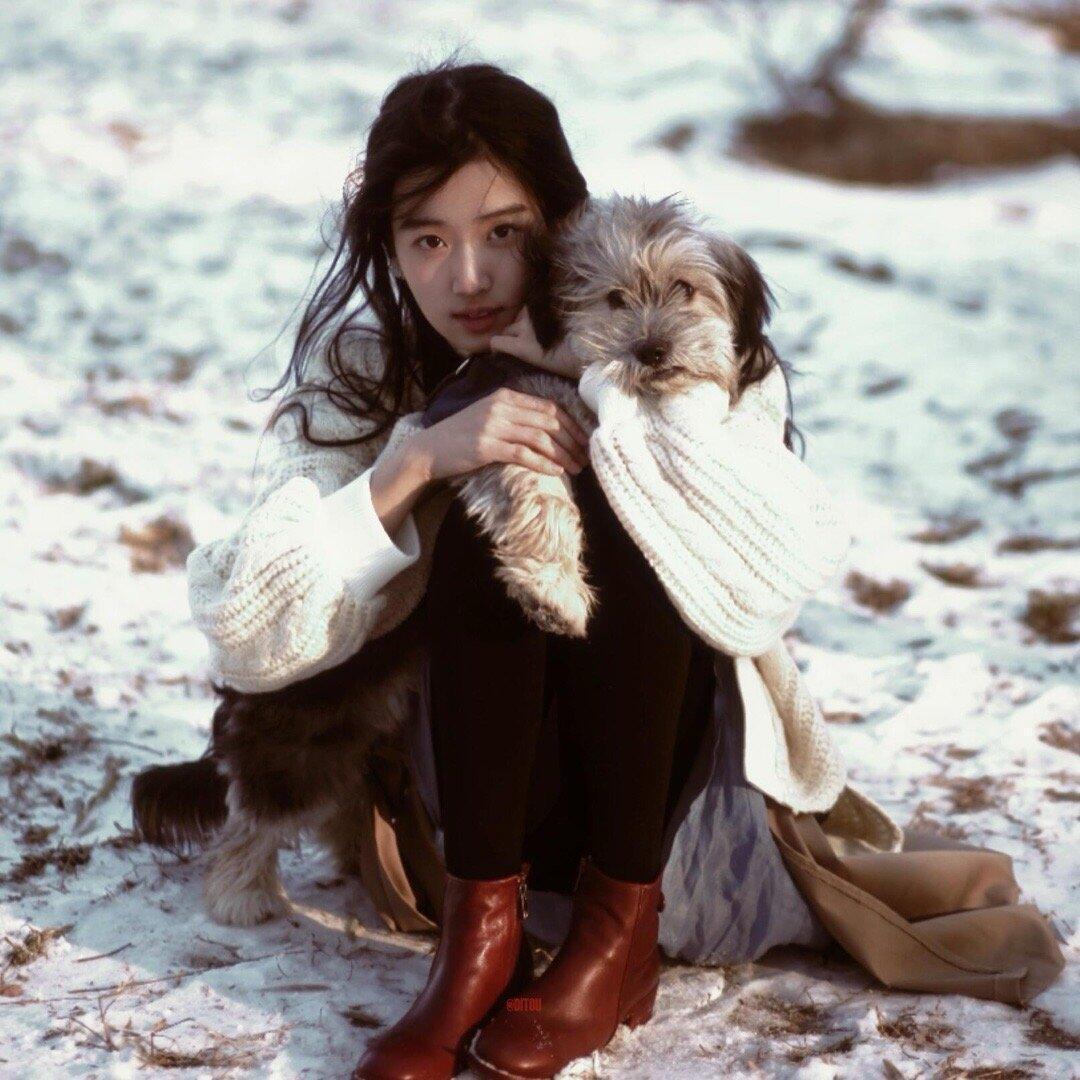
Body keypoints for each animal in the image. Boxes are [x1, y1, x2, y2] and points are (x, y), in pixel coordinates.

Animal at [131, 193, 781, 925]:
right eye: (614, 298)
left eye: (685, 288)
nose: (652, 349)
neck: (571, 372)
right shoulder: (515, 426)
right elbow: (542, 498)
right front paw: (554, 592)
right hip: (311, 722)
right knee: (257, 808)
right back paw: (241, 895)